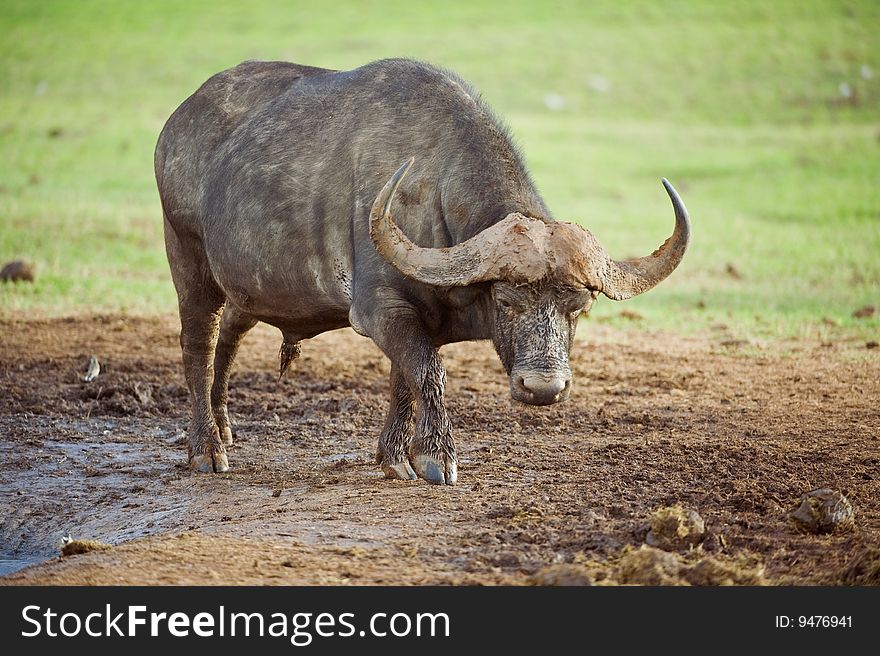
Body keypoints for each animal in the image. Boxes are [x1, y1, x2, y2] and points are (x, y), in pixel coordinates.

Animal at [155, 59, 692, 484]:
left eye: (578, 307)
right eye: (506, 301)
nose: (543, 388)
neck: (433, 194)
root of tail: (177, 123)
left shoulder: (415, 317)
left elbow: (405, 377)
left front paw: (394, 456)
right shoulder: (378, 309)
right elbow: (428, 372)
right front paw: (436, 457)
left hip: (249, 287)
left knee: (231, 335)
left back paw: (224, 426)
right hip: (188, 260)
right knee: (198, 343)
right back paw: (206, 449)